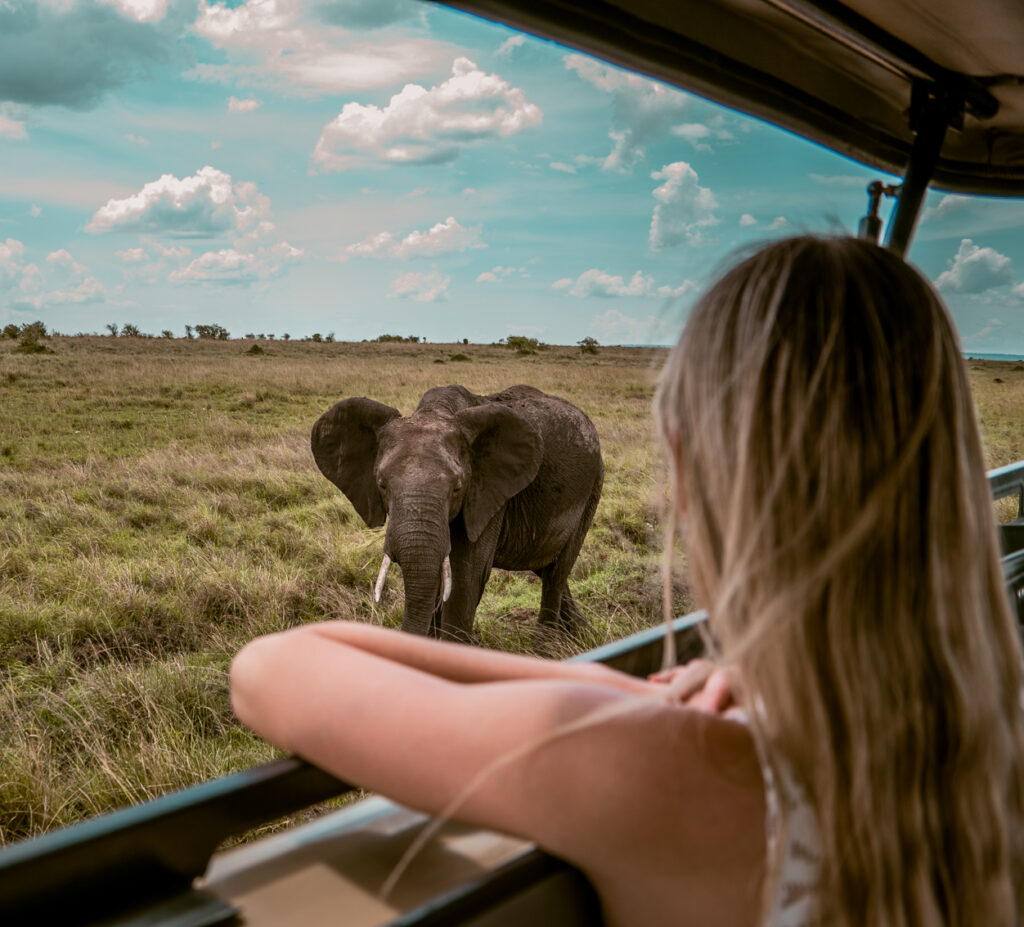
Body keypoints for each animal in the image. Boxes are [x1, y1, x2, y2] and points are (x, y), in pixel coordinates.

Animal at [311, 384, 603, 641]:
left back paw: (548, 648)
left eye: (457, 488)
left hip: (592, 489)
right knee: (546, 568)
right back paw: (582, 633)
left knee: (557, 573)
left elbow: (464, 580)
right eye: (381, 484)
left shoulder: (486, 495)